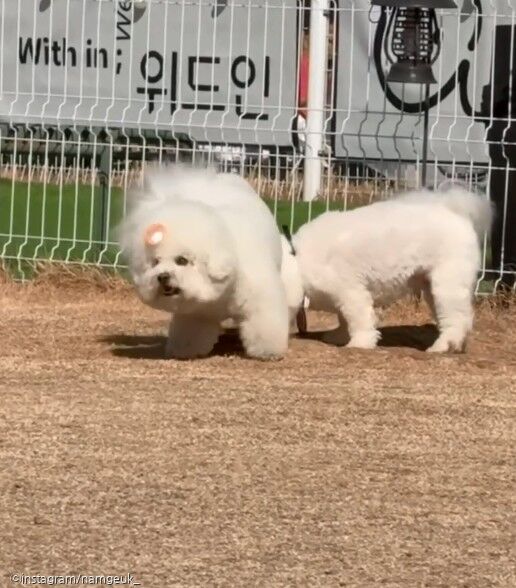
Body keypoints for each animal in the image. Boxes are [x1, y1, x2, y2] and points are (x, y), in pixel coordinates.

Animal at [118, 164, 298, 358]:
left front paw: (268, 351)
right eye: (155, 263)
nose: (162, 276)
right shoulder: (196, 314)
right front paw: (186, 350)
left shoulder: (260, 301)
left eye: (181, 260)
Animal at [290, 188, 492, 352]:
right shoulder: (342, 297)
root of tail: (455, 212)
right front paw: (339, 336)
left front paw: (359, 343)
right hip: (431, 287)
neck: (297, 259)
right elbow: (344, 319)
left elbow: (358, 319)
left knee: (456, 319)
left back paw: (444, 346)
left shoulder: (351, 292)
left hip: (448, 284)